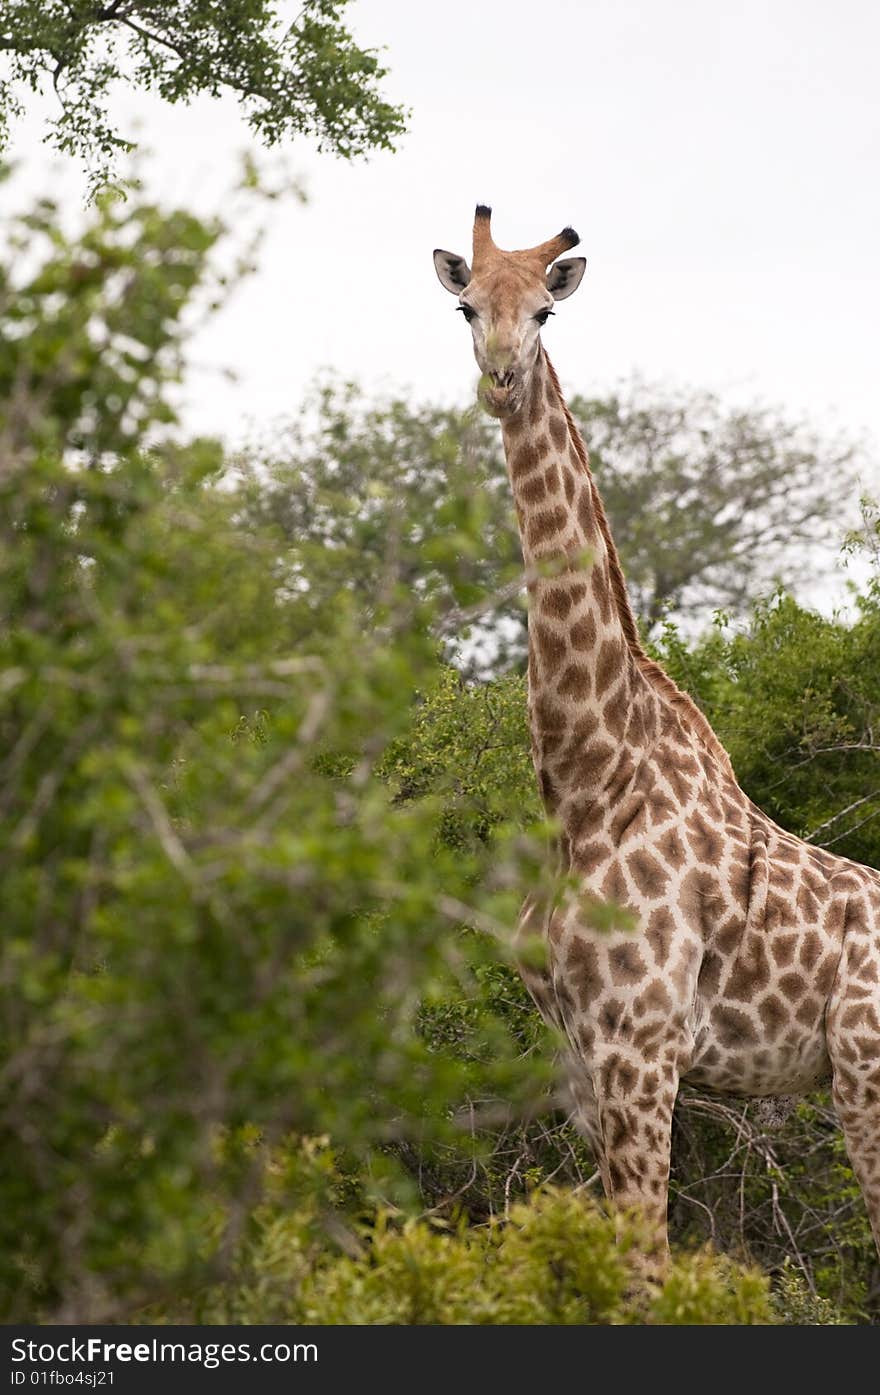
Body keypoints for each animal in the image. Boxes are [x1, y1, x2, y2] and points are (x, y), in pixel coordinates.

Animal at [429, 206, 880, 1266]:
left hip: (865, 1082)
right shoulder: (582, 1056)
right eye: (467, 306)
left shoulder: (642, 1044)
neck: (589, 781)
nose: (500, 379)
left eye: (547, 310)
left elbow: (645, 1262)